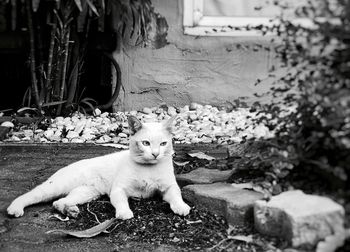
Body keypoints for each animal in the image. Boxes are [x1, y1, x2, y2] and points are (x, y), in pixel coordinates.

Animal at [6, 115, 190, 220]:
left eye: (163, 144)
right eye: (145, 143)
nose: (155, 154)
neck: (149, 169)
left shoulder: (169, 187)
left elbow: (176, 196)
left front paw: (181, 207)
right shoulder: (118, 189)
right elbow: (122, 202)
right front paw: (124, 213)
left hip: (87, 193)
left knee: (58, 202)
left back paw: (70, 211)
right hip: (57, 187)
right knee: (33, 195)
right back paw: (15, 208)